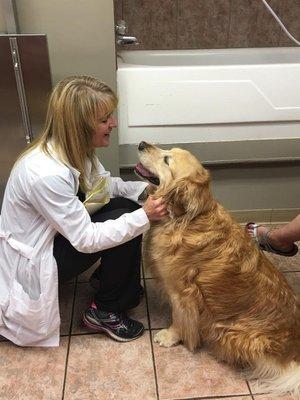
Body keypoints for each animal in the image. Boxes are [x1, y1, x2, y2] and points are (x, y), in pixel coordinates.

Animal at [135, 142, 300, 398]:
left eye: (166, 160)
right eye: (166, 151)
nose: (141, 143)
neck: (186, 219)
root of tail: (292, 354)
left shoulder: (183, 293)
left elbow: (181, 318)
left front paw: (171, 336)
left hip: (230, 332)